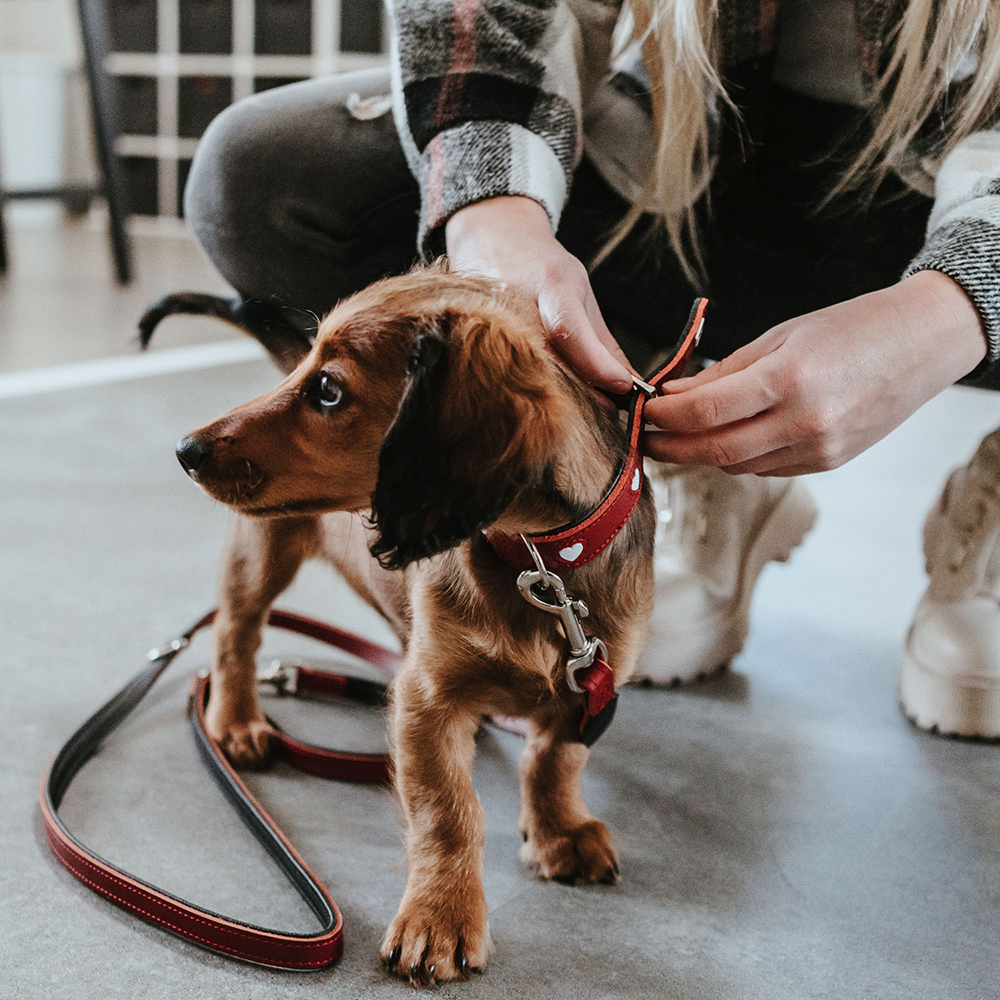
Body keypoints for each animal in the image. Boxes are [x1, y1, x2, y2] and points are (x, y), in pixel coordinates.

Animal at [174, 266, 656, 984]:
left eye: (327, 389)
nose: (185, 450)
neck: (538, 565)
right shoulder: (427, 698)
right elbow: (448, 811)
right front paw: (441, 917)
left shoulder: (593, 683)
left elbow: (555, 760)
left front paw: (559, 832)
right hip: (260, 553)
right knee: (237, 633)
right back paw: (235, 720)